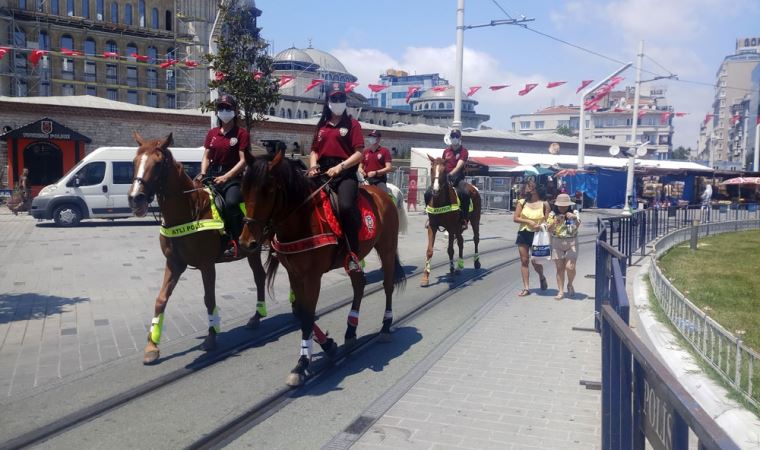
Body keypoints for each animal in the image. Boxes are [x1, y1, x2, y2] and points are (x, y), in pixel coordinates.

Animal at [124, 132, 268, 364]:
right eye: (134, 162)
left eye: (158, 164)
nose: (135, 198)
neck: (189, 212)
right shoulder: (174, 264)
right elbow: (160, 299)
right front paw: (152, 346)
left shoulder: (207, 265)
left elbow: (209, 299)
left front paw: (211, 336)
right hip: (251, 251)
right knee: (260, 276)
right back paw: (256, 317)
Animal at [240, 150, 406, 386]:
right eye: (244, 188)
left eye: (268, 190)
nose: (247, 242)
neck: (301, 220)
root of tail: (384, 195)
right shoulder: (294, 273)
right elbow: (301, 311)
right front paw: (327, 345)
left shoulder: (312, 277)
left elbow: (309, 314)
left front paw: (302, 363)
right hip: (352, 258)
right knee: (359, 285)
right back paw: (351, 330)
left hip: (387, 248)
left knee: (388, 285)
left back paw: (385, 327)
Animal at [418, 156, 484, 286]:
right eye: (432, 169)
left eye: (445, 170)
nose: (435, 190)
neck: (440, 201)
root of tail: (474, 188)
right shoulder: (432, 226)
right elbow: (429, 250)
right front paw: (425, 277)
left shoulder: (451, 227)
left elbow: (450, 250)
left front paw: (451, 273)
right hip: (459, 227)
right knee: (461, 242)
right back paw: (459, 267)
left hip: (474, 220)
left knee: (476, 239)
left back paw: (476, 262)